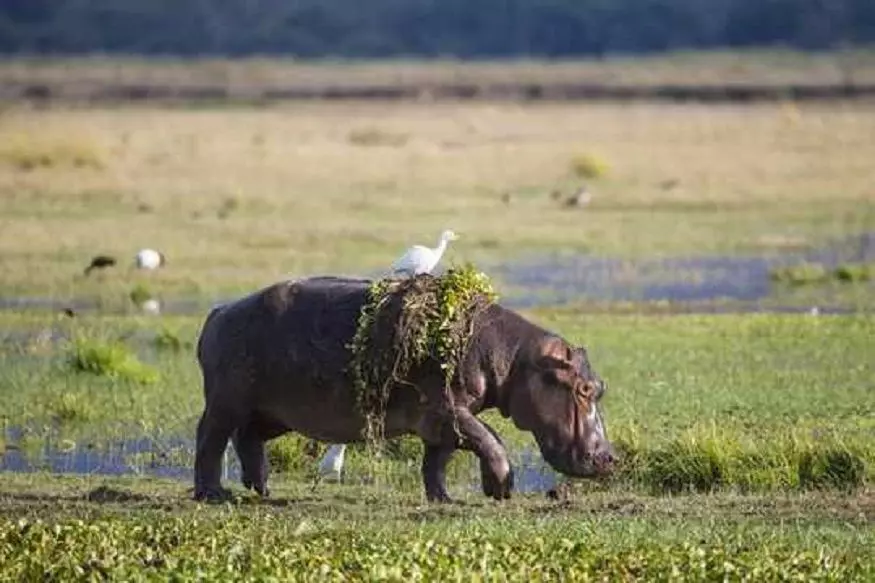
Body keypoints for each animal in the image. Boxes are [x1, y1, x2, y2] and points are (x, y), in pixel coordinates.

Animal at [193, 278, 616, 502]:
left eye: (599, 387)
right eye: (582, 388)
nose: (609, 457)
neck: (516, 357)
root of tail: (218, 311)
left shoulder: (442, 420)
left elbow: (438, 460)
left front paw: (444, 499)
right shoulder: (446, 409)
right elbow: (490, 438)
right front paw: (500, 488)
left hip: (274, 411)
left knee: (248, 438)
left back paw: (262, 490)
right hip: (227, 401)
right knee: (210, 438)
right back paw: (214, 494)